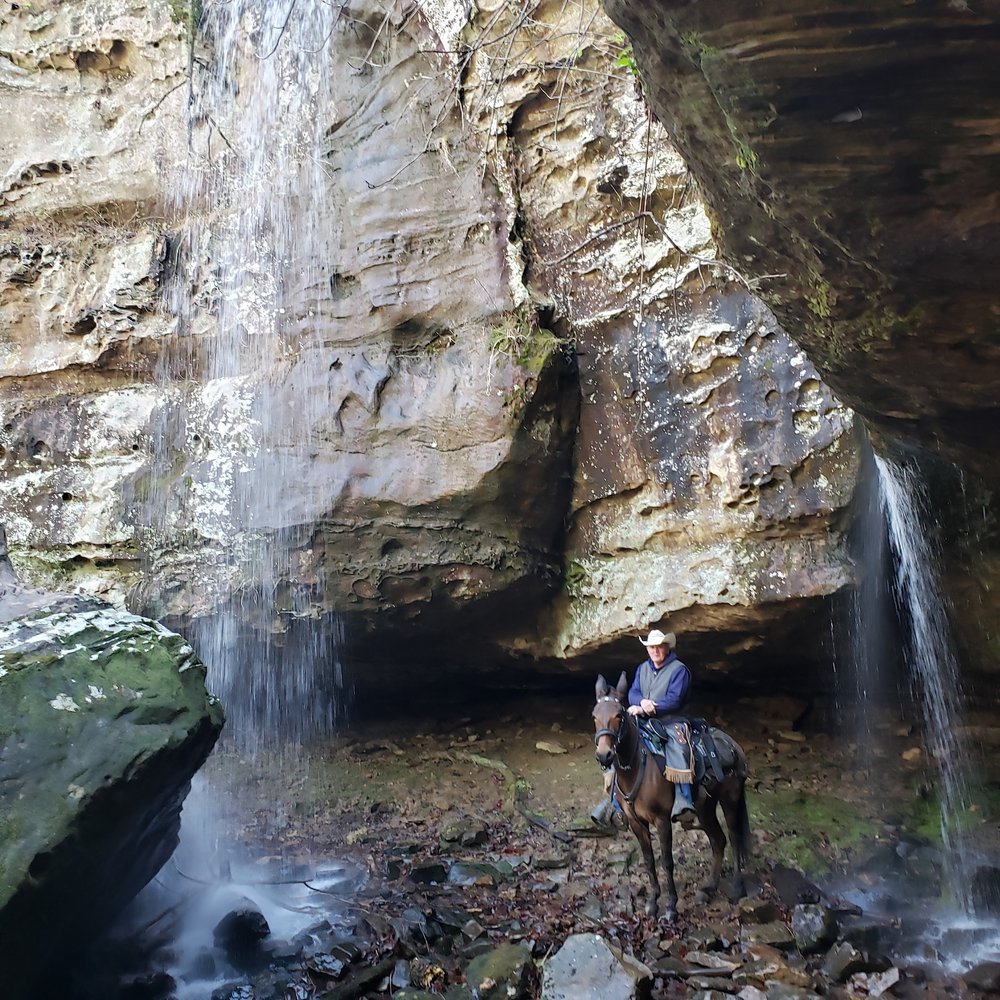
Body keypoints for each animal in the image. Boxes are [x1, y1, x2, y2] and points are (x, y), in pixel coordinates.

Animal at [592, 672, 752, 920]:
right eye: (594, 716)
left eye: (619, 715)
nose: (604, 755)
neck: (637, 766)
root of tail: (733, 745)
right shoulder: (637, 823)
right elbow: (649, 860)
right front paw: (652, 901)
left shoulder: (662, 820)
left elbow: (667, 861)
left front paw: (670, 906)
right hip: (705, 809)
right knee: (718, 840)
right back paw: (708, 888)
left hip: (730, 800)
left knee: (734, 838)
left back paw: (736, 888)